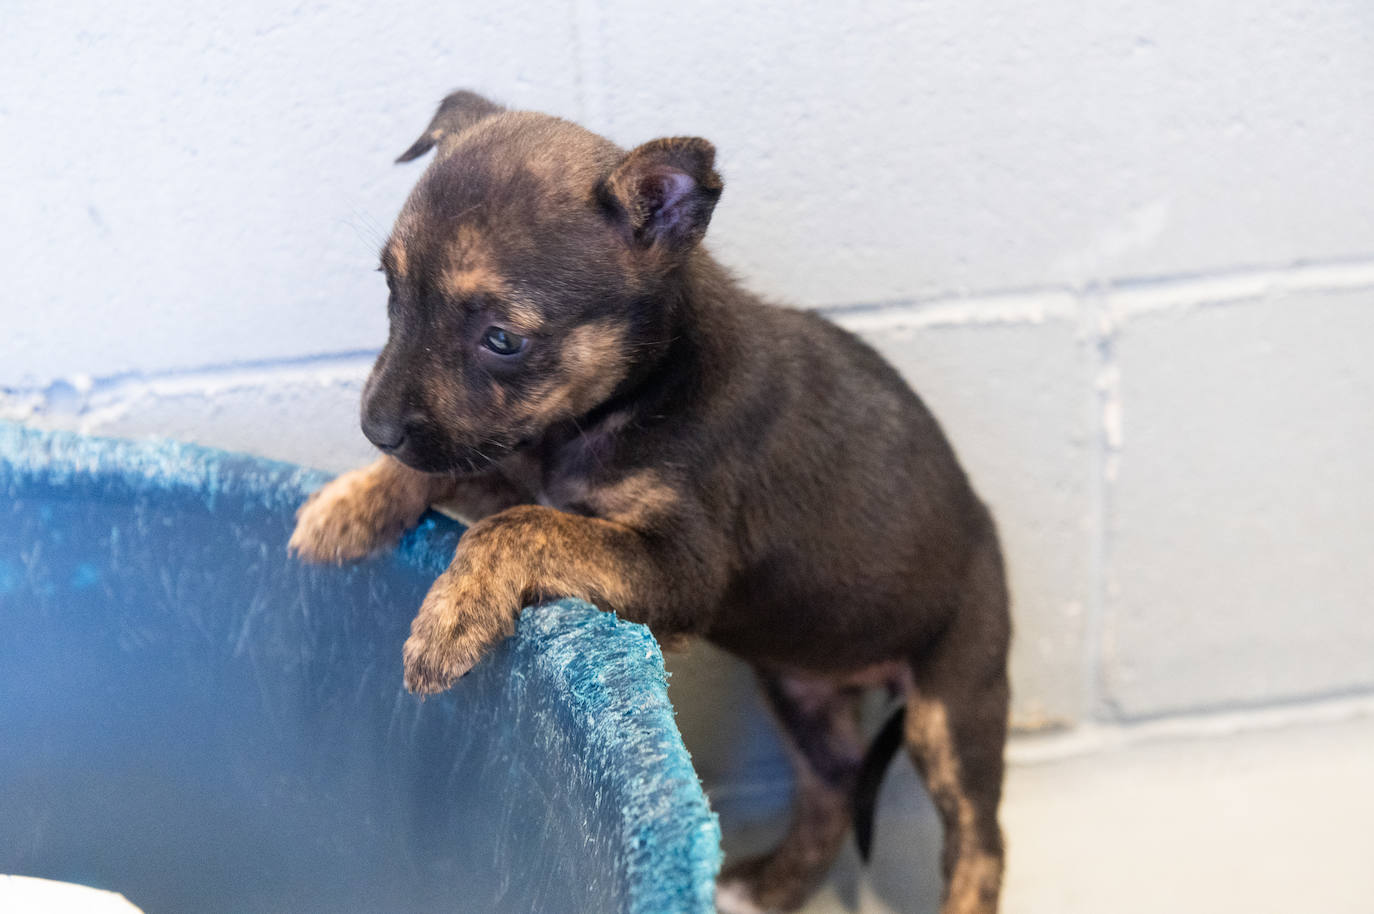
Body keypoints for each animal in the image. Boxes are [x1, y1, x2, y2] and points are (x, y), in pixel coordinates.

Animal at [292, 90, 1011, 912]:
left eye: (503, 339)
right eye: (391, 290)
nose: (372, 427)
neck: (637, 390)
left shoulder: (681, 568)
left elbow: (515, 527)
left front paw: (449, 621)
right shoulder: (515, 460)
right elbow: (473, 484)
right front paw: (346, 504)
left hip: (953, 703)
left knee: (980, 843)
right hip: (799, 686)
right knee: (831, 784)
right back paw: (765, 886)